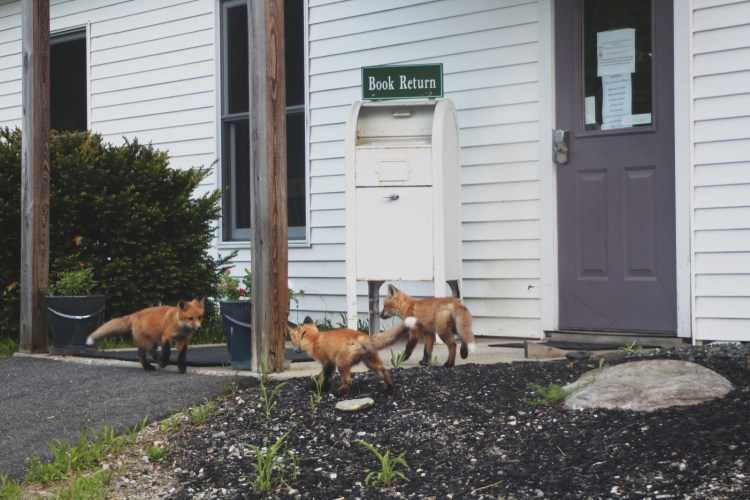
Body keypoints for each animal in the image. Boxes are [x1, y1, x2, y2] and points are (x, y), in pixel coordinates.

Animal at [288, 316, 420, 394]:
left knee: (348, 382)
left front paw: (322, 390)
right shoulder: (330, 364)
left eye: (293, 341)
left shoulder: (328, 363)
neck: (314, 339)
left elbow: (325, 378)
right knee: (384, 371)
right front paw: (314, 387)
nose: (294, 349)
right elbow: (319, 377)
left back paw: (338, 393)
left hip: (342, 364)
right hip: (370, 363)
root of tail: (362, 336)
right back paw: (391, 387)